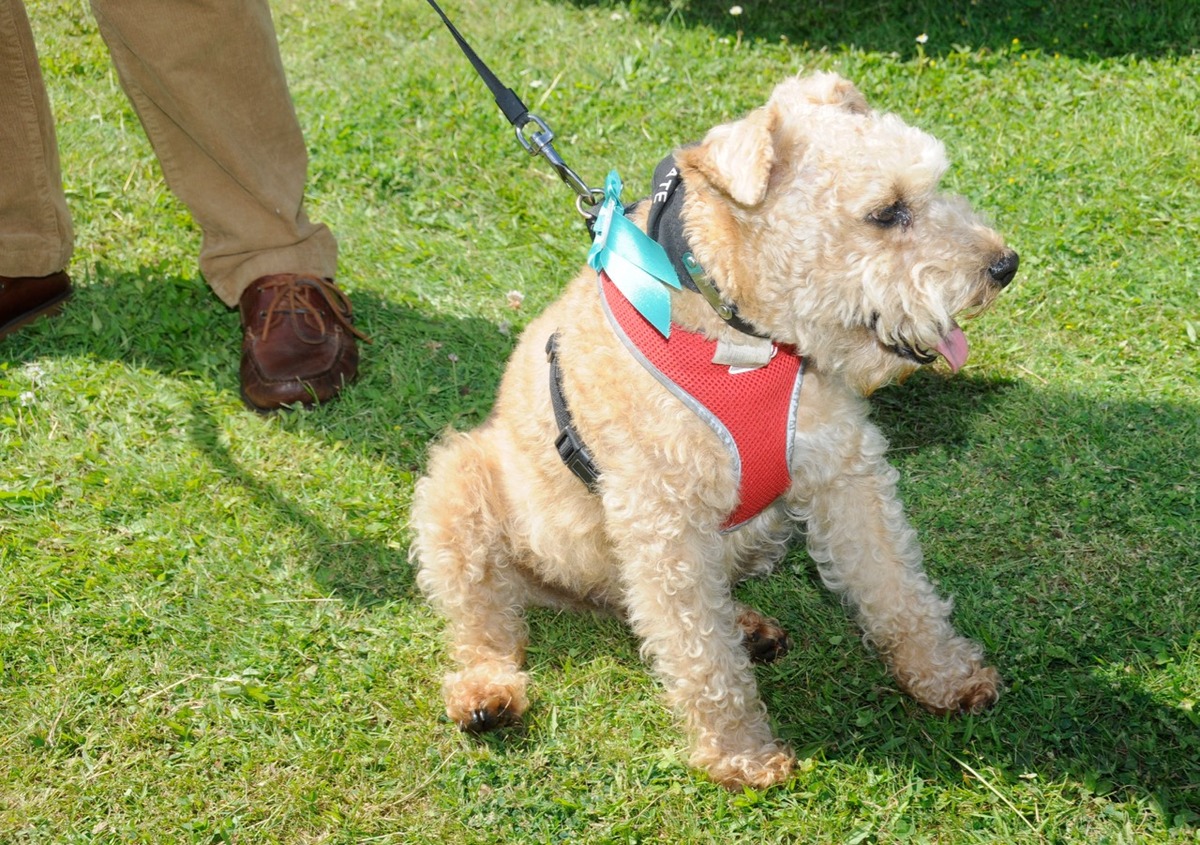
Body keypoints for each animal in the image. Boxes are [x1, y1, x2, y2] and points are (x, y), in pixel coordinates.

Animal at [408, 69, 1017, 787]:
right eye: (887, 211)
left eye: (930, 185)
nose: (1005, 265)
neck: (744, 341)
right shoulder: (665, 522)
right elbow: (703, 657)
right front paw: (742, 755)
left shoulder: (845, 472)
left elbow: (899, 589)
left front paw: (948, 677)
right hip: (458, 491)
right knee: (487, 624)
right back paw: (487, 693)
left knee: (639, 605)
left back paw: (749, 628)